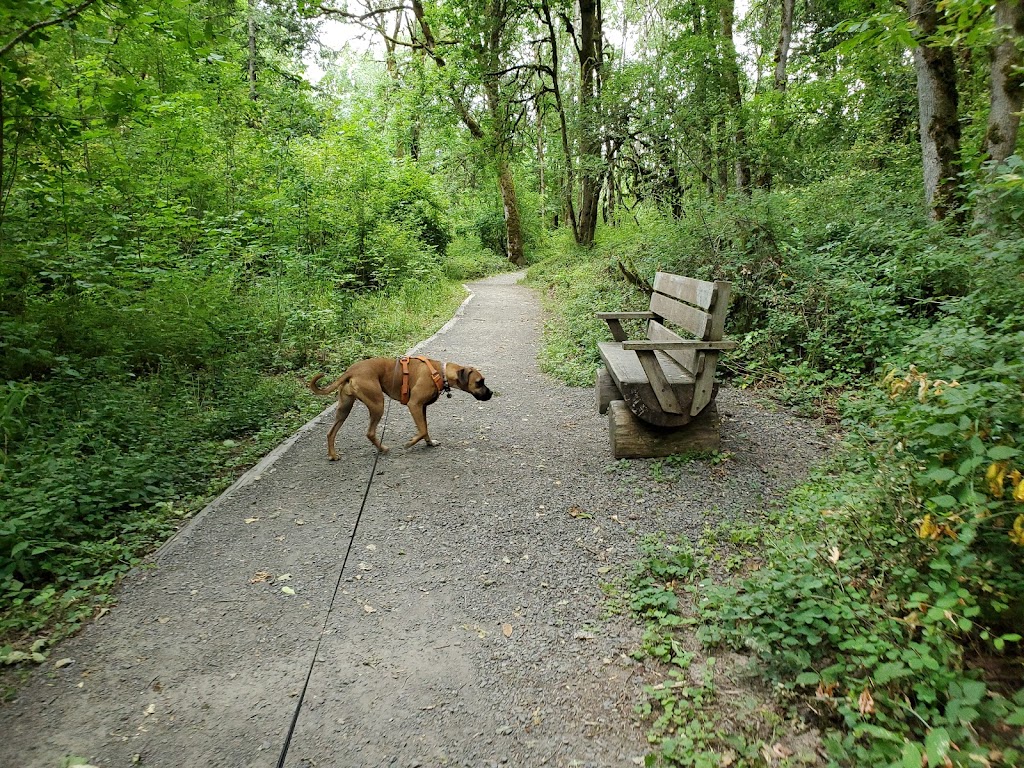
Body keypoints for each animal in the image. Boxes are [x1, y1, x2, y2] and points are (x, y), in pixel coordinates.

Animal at [307, 358, 491, 460]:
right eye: (479, 382)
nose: (490, 393)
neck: (441, 372)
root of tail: (350, 371)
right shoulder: (414, 405)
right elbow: (422, 430)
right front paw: (410, 443)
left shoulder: (422, 408)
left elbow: (425, 428)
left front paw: (429, 443)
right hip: (377, 404)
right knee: (370, 433)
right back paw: (382, 449)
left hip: (344, 408)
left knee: (331, 432)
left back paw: (333, 455)